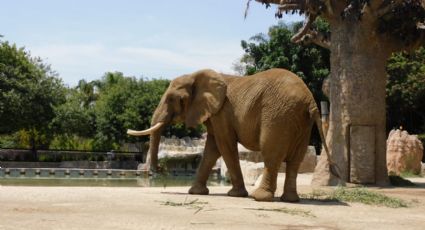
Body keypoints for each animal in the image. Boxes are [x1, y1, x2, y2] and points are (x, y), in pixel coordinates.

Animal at [127, 68, 340, 201]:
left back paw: (260, 198)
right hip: (301, 123)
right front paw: (196, 192)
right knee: (296, 158)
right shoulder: (215, 114)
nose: (161, 170)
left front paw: (235, 195)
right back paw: (290, 200)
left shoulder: (222, 112)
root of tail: (310, 101)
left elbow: (225, 146)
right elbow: (212, 149)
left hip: (278, 115)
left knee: (271, 153)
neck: (197, 76)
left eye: (172, 99)